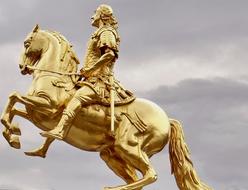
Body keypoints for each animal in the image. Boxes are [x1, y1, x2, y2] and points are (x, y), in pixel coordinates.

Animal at [0, 25, 211, 190]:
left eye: (27, 43)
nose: (22, 67)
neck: (55, 78)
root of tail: (167, 120)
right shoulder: (36, 114)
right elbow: (14, 107)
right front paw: (13, 135)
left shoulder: (47, 108)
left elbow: (14, 96)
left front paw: (13, 133)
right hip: (111, 154)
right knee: (138, 178)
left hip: (127, 146)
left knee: (150, 175)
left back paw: (113, 188)